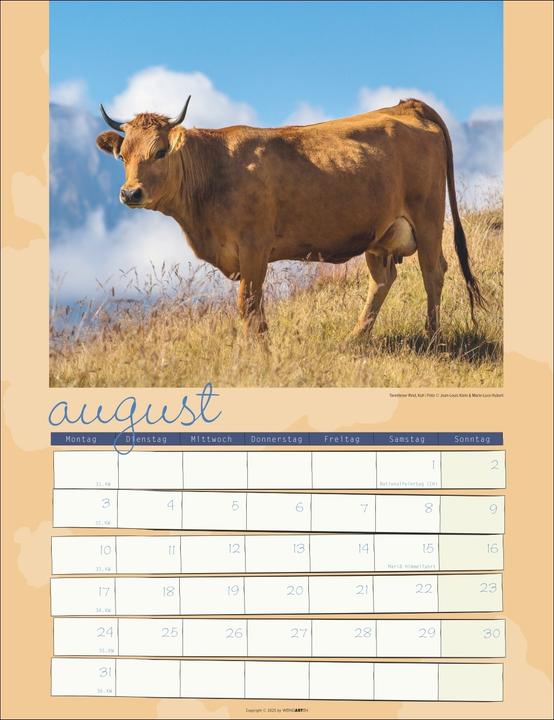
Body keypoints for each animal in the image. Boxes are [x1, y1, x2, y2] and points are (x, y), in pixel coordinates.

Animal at [96, 96, 484, 340]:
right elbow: (254, 307)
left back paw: (432, 337)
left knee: (433, 272)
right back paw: (355, 339)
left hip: (428, 217)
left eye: (160, 151)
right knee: (383, 279)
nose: (130, 193)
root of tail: (407, 105)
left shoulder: (254, 248)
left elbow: (248, 306)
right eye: (122, 155)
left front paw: (258, 354)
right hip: (380, 233)